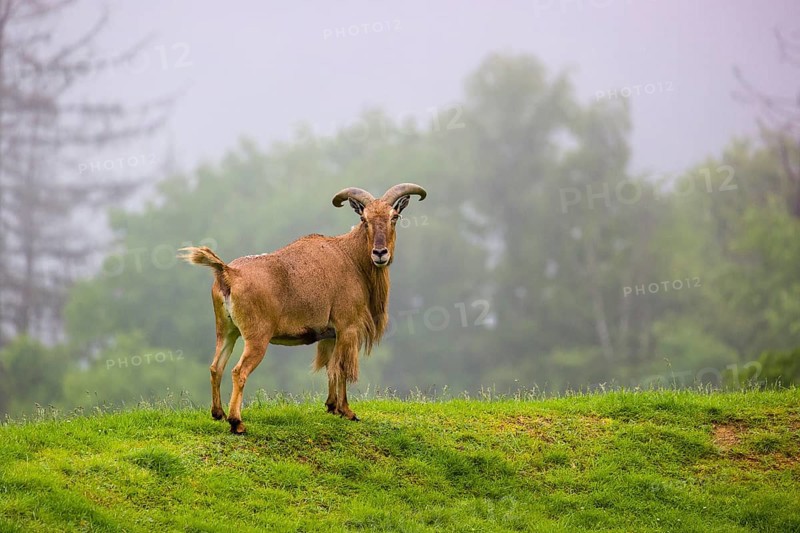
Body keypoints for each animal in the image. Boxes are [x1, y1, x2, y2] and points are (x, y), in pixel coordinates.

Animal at [179, 183, 427, 433]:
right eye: (364, 219)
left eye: (394, 216)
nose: (380, 253)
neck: (352, 258)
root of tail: (228, 273)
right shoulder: (347, 327)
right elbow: (342, 369)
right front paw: (347, 412)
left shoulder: (330, 334)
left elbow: (331, 368)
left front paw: (331, 406)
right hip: (256, 337)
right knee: (238, 371)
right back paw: (236, 422)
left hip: (227, 331)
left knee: (216, 367)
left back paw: (218, 413)